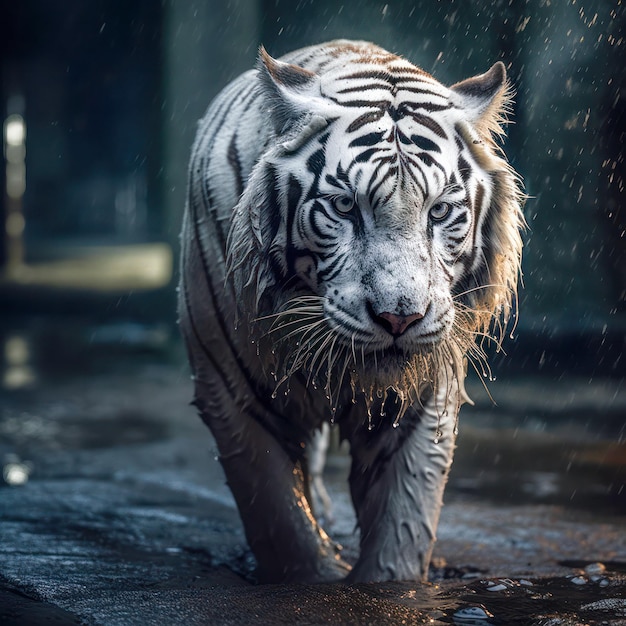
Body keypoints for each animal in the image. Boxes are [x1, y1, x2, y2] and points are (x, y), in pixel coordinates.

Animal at [179, 40, 520, 580]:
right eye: (344, 208)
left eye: (440, 211)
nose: (400, 317)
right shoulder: (234, 391)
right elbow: (278, 514)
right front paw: (317, 574)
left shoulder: (422, 399)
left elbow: (403, 518)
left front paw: (388, 583)